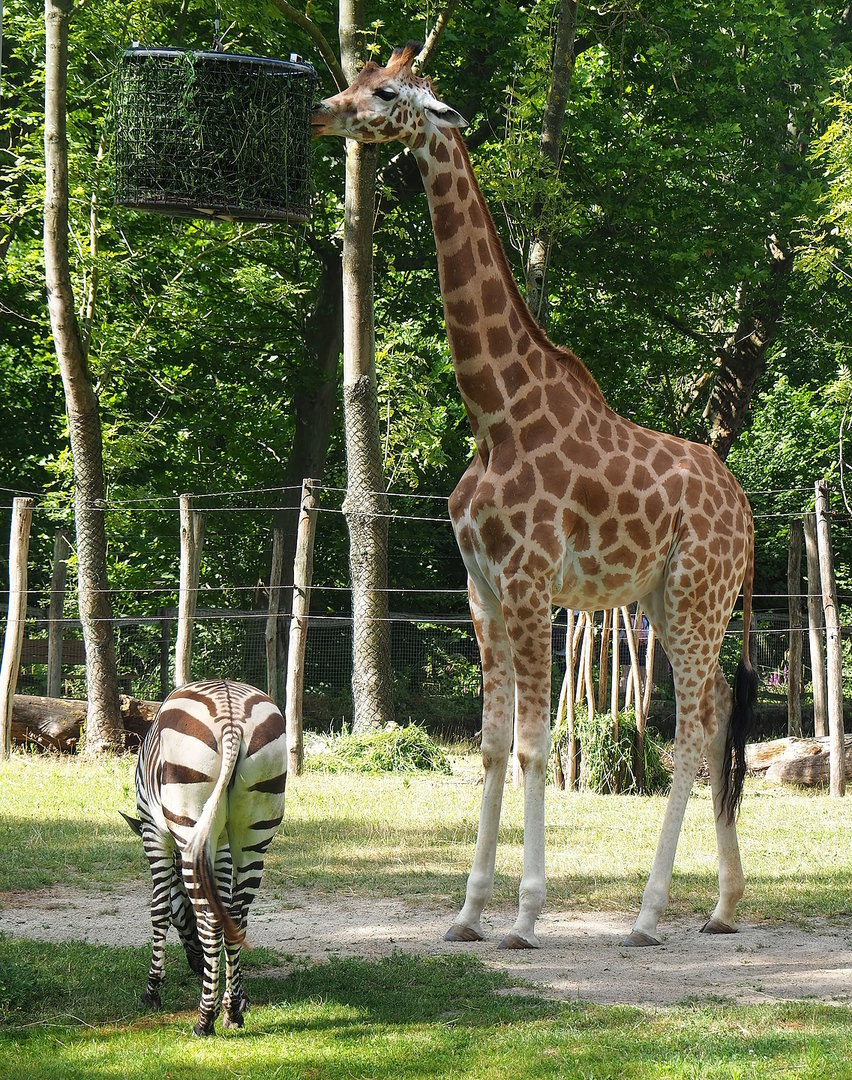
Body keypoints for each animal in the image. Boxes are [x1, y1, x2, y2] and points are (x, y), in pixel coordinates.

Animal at [122, 679, 287, 1036]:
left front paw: (152, 991)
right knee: (236, 916)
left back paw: (205, 1019)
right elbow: (226, 906)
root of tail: (231, 722)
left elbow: (159, 909)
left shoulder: (153, 831)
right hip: (254, 832)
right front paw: (240, 997)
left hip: (187, 821)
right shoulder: (220, 845)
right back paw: (231, 1012)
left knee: (211, 919)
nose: (197, 966)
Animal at [312, 42, 758, 949]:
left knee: (694, 733)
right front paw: (467, 913)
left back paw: (648, 915)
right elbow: (488, 748)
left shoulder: (528, 584)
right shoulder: (480, 588)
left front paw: (523, 915)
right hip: (667, 599)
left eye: (387, 91)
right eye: (361, 74)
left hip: (696, 593)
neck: (496, 414)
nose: (323, 112)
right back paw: (723, 905)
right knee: (720, 711)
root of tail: (749, 514)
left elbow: (533, 747)